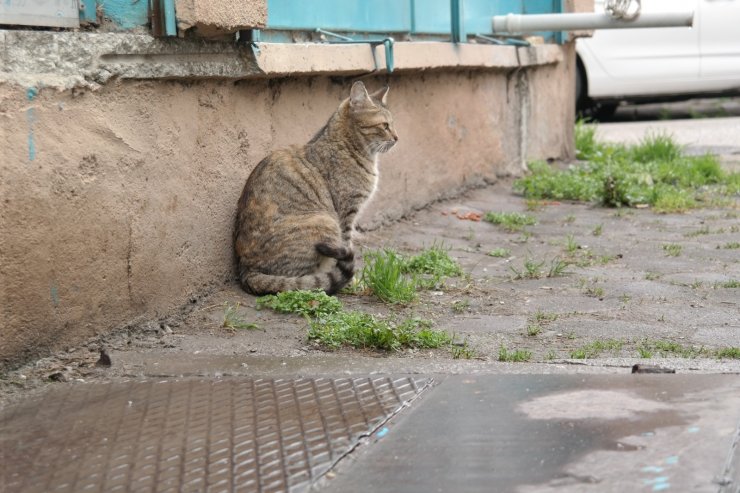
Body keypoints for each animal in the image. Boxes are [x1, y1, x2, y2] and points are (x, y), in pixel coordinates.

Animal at [236, 81, 398, 294]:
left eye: (393, 124)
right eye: (385, 125)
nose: (397, 137)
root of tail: (246, 270)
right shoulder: (346, 214)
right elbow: (345, 247)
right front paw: (352, 283)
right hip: (325, 221)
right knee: (300, 283)